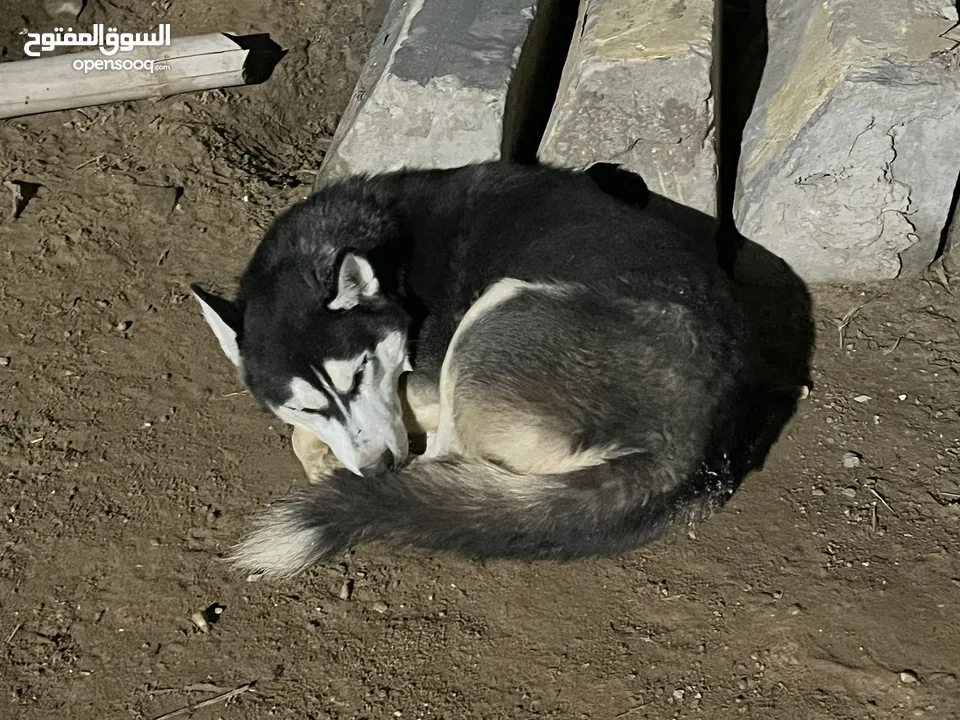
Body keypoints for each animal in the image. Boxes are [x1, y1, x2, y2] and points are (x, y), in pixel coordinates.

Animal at [191, 162, 768, 580]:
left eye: (359, 373)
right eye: (305, 404)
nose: (378, 468)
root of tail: (695, 450)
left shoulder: (419, 381)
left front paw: (335, 469)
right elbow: (303, 434)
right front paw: (327, 459)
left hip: (496, 313)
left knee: (445, 457)